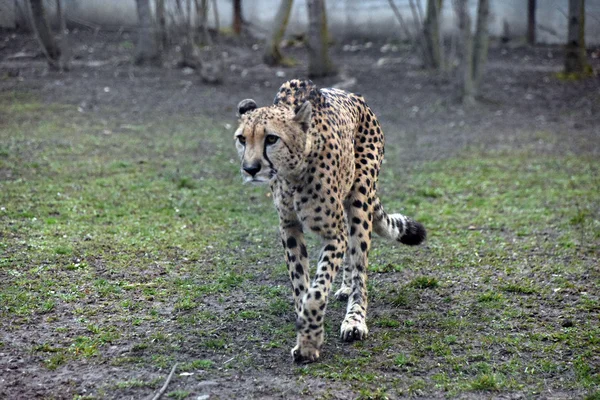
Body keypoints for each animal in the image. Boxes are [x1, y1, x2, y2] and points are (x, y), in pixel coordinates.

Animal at [234, 79, 426, 362]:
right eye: (241, 139)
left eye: (271, 138)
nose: (250, 169)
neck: (293, 173)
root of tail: (355, 96)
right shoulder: (289, 227)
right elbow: (300, 282)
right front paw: (304, 323)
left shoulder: (334, 234)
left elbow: (317, 289)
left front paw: (309, 341)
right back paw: (345, 288)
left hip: (360, 198)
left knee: (360, 268)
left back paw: (355, 319)